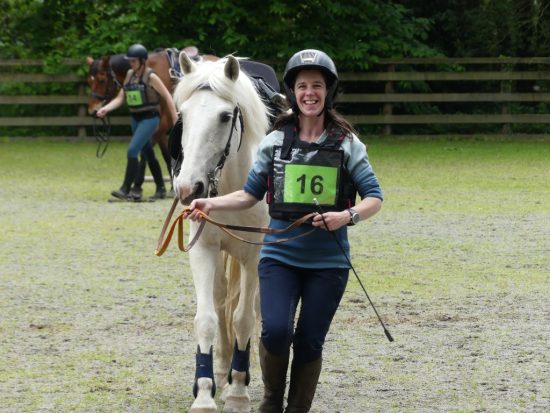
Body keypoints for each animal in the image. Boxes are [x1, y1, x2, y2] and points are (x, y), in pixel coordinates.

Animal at [170, 52, 270, 412]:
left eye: (225, 116)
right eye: (182, 116)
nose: (188, 187)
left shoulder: (254, 254)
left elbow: (243, 318)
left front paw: (238, 391)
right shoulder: (202, 250)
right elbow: (208, 318)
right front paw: (204, 392)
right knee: (221, 299)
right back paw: (224, 368)